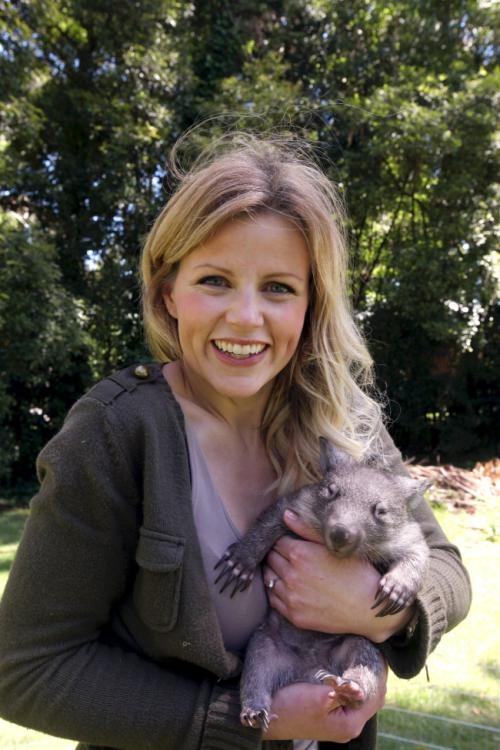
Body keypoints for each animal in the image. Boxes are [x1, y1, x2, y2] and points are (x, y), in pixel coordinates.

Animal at [214, 438, 430, 730]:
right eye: (331, 492)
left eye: (380, 511)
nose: (341, 533)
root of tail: (309, 670)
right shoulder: (295, 506)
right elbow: (268, 522)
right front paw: (239, 563)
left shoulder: (406, 535)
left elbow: (417, 554)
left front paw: (396, 591)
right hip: (265, 644)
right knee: (256, 673)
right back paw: (254, 712)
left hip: (357, 644)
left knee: (365, 664)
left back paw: (352, 689)